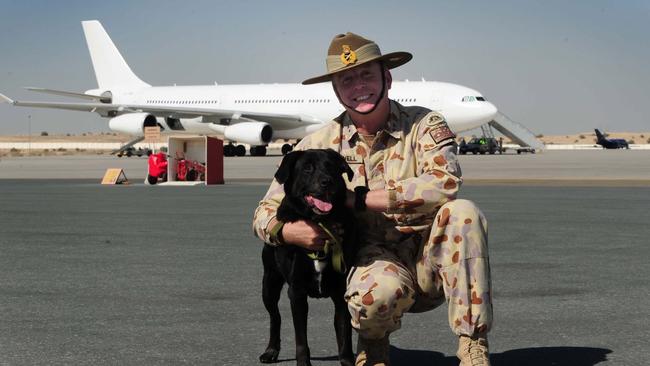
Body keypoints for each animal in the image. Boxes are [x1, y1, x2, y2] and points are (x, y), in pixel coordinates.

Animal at [258, 149, 354, 366]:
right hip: (269, 283)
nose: (327, 181)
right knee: (275, 317)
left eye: (332, 167)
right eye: (307, 168)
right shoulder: (297, 292)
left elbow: (345, 339)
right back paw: (271, 350)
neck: (320, 224)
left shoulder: (341, 293)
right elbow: (301, 340)